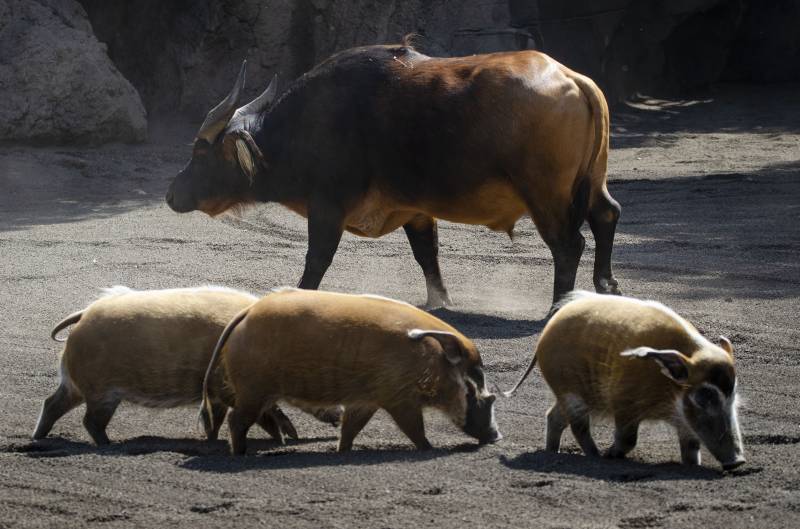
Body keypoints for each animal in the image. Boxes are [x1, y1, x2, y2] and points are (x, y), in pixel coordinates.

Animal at [166, 41, 620, 310]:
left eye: (200, 152)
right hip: (592, 182)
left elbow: (317, 259)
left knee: (569, 243)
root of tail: (573, 79)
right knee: (606, 215)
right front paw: (439, 303)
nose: (172, 194)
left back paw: (560, 305)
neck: (310, 121)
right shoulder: (415, 210)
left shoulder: (328, 206)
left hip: (545, 195)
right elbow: (427, 255)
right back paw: (607, 285)